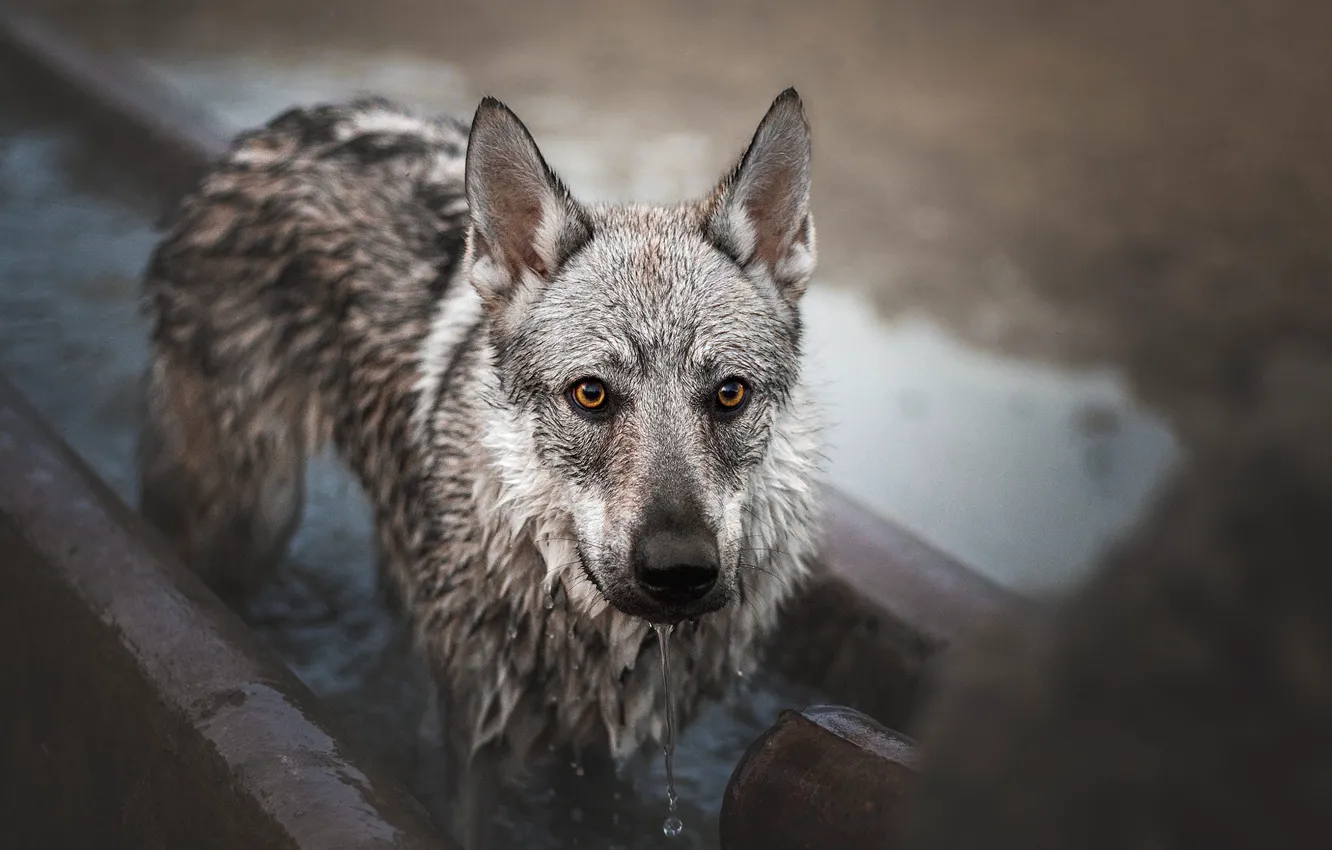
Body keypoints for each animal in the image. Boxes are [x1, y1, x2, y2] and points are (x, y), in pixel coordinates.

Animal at [138, 88, 823, 843]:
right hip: (252, 522)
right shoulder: (471, 741)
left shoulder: (606, 760)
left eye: (730, 394)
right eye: (591, 394)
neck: (584, 633)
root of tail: (285, 125)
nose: (678, 571)